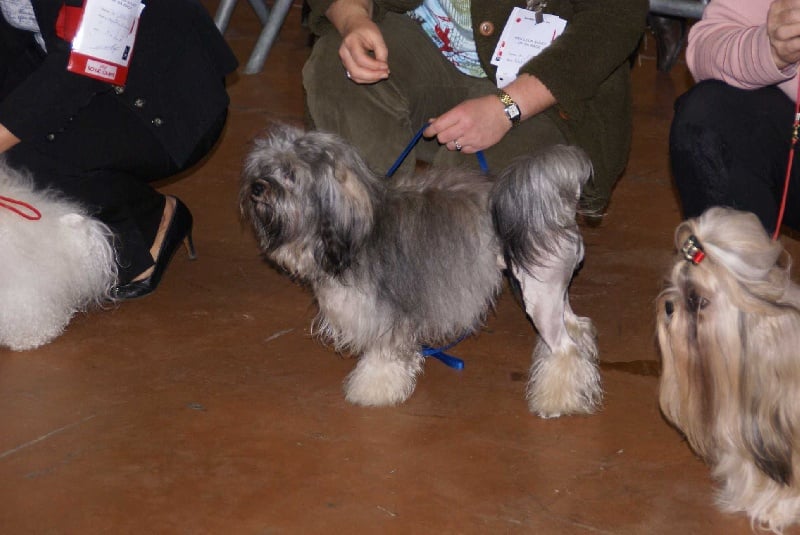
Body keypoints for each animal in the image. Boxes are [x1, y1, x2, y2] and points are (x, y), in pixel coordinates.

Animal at [240, 123, 600, 417]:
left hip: (539, 294)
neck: (355, 232)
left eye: (290, 173)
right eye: (265, 167)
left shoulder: (388, 316)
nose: (256, 187)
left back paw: (555, 402)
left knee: (564, 346)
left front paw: (372, 390)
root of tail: (556, 207)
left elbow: (382, 356)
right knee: (577, 328)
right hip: (553, 291)